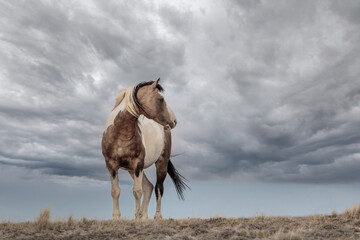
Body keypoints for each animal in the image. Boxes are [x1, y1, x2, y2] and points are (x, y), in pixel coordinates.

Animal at [100, 79, 187, 221]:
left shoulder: (138, 165)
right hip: (131, 170)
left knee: (158, 188)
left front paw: (137, 217)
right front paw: (117, 218)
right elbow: (115, 191)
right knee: (149, 187)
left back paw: (157, 216)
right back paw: (144, 218)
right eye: (161, 99)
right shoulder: (111, 166)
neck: (119, 134)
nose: (174, 121)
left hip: (160, 164)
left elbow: (137, 191)